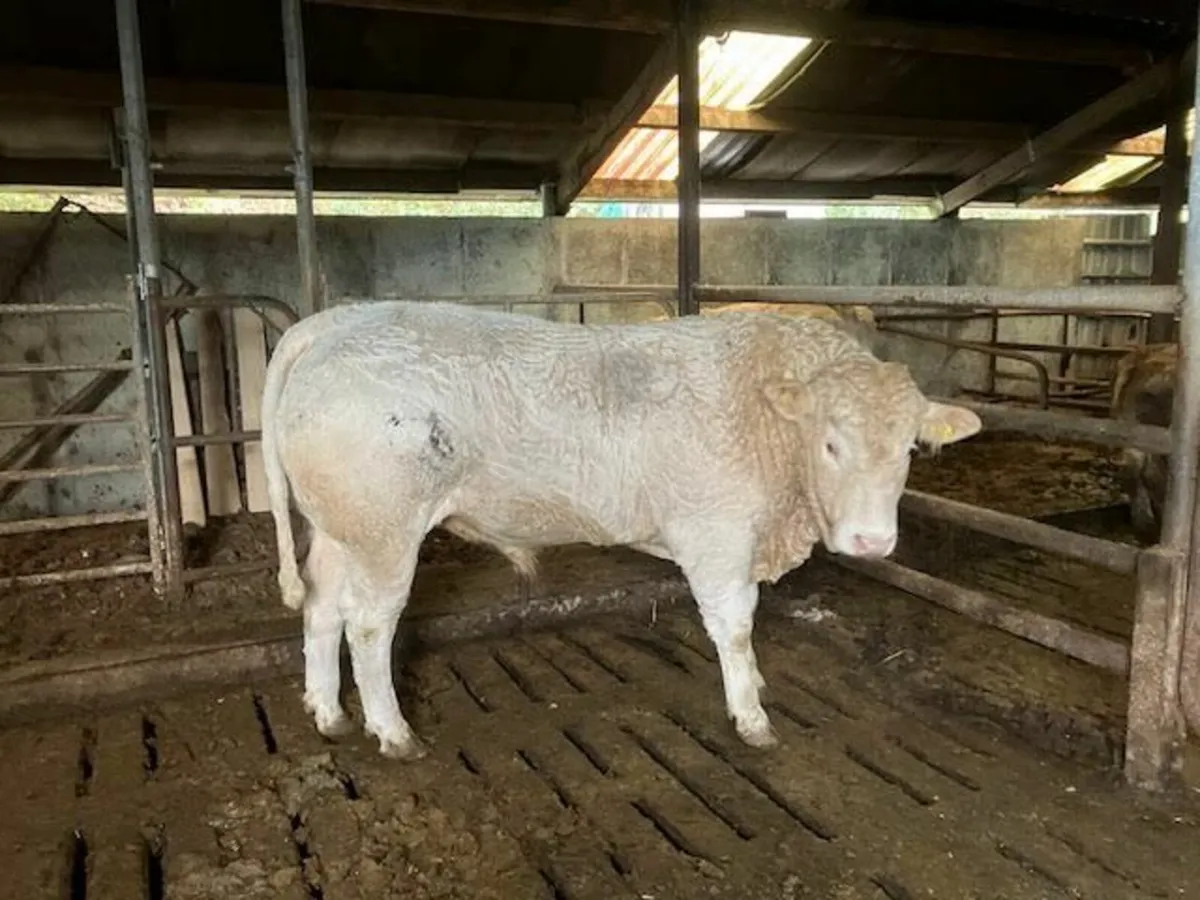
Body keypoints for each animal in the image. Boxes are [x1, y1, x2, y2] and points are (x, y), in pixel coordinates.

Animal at [261, 301, 982, 760]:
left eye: (910, 449)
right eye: (832, 444)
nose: (872, 542)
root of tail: (334, 321)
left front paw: (755, 688)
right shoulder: (717, 535)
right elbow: (736, 626)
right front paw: (750, 715)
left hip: (339, 527)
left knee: (322, 608)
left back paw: (328, 711)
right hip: (385, 532)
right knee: (368, 626)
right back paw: (392, 732)